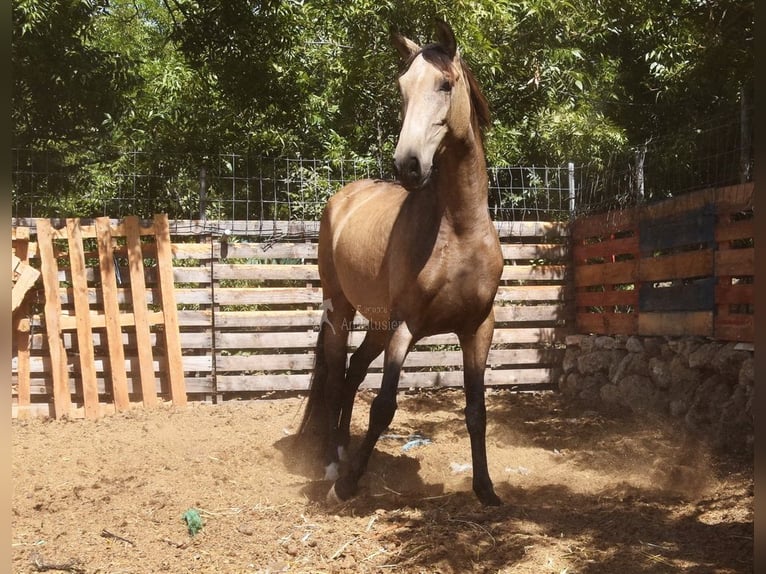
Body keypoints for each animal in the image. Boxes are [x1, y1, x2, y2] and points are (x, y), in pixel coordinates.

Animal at [296, 20, 508, 506]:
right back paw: (331, 461)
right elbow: (384, 406)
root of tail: (343, 196)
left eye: (445, 84)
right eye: (402, 89)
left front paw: (486, 489)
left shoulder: (478, 328)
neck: (459, 231)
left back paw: (343, 447)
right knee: (336, 377)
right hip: (342, 310)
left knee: (353, 372)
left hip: (376, 323)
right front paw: (347, 484)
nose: (408, 166)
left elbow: (476, 410)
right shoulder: (405, 328)